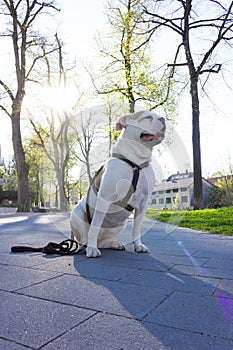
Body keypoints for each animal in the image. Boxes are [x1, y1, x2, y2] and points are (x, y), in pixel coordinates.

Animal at [69, 110, 166, 258]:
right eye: (148, 117)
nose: (163, 119)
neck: (136, 162)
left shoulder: (143, 204)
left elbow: (137, 229)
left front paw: (138, 246)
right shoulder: (105, 197)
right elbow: (94, 227)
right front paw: (92, 249)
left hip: (121, 224)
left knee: (102, 242)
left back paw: (113, 244)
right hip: (77, 212)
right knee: (86, 236)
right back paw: (88, 246)